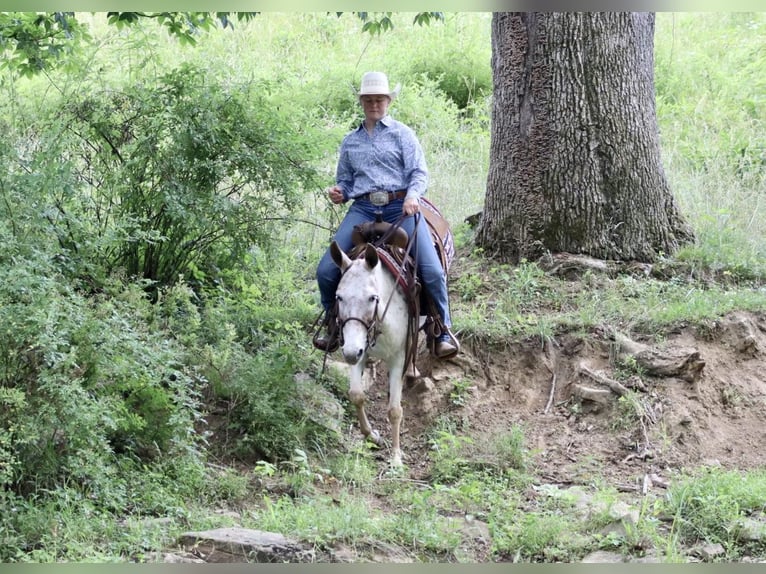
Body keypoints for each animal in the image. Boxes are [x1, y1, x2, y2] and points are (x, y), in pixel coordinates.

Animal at [328, 238, 416, 468]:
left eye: (372, 298)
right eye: (338, 297)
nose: (350, 354)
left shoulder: (398, 358)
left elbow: (395, 410)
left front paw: (396, 458)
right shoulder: (358, 349)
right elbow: (356, 395)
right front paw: (372, 436)